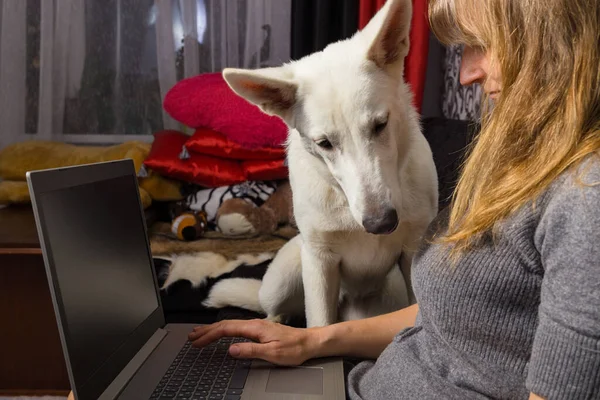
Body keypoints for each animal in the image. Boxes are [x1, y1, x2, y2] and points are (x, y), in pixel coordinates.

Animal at [205, 0, 436, 326]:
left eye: (380, 125)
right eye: (325, 143)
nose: (380, 224)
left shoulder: (412, 248)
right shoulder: (319, 261)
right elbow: (319, 323)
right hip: (285, 277)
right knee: (274, 312)